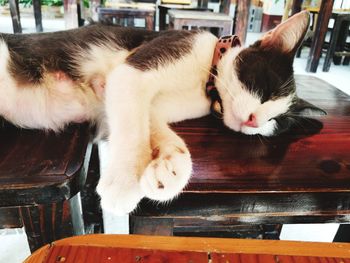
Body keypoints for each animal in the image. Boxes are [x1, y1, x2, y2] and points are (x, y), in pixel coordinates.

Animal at [0, 10, 324, 217]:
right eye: (265, 89)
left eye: (276, 122)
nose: (254, 121)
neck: (204, 83)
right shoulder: (132, 72)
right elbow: (133, 128)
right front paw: (123, 185)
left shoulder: (145, 103)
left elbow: (149, 121)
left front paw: (170, 167)